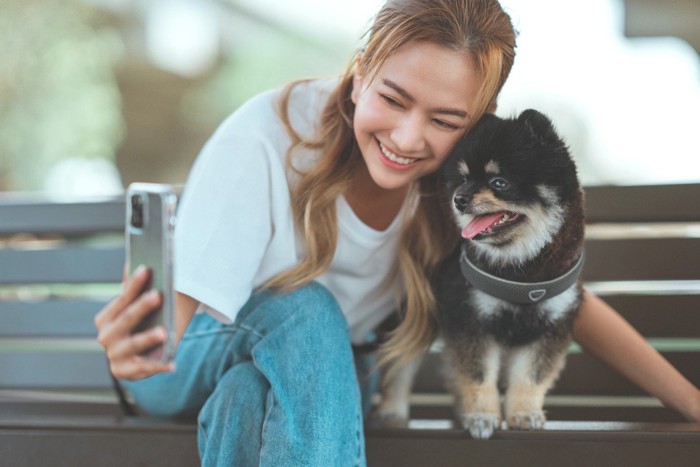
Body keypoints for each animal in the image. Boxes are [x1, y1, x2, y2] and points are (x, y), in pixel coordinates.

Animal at [374, 109, 584, 438]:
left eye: (499, 182)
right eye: (462, 179)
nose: (459, 199)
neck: (520, 272)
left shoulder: (551, 326)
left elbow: (531, 377)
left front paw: (524, 413)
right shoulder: (471, 319)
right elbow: (477, 374)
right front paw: (483, 415)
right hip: (413, 320)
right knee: (398, 368)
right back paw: (392, 413)